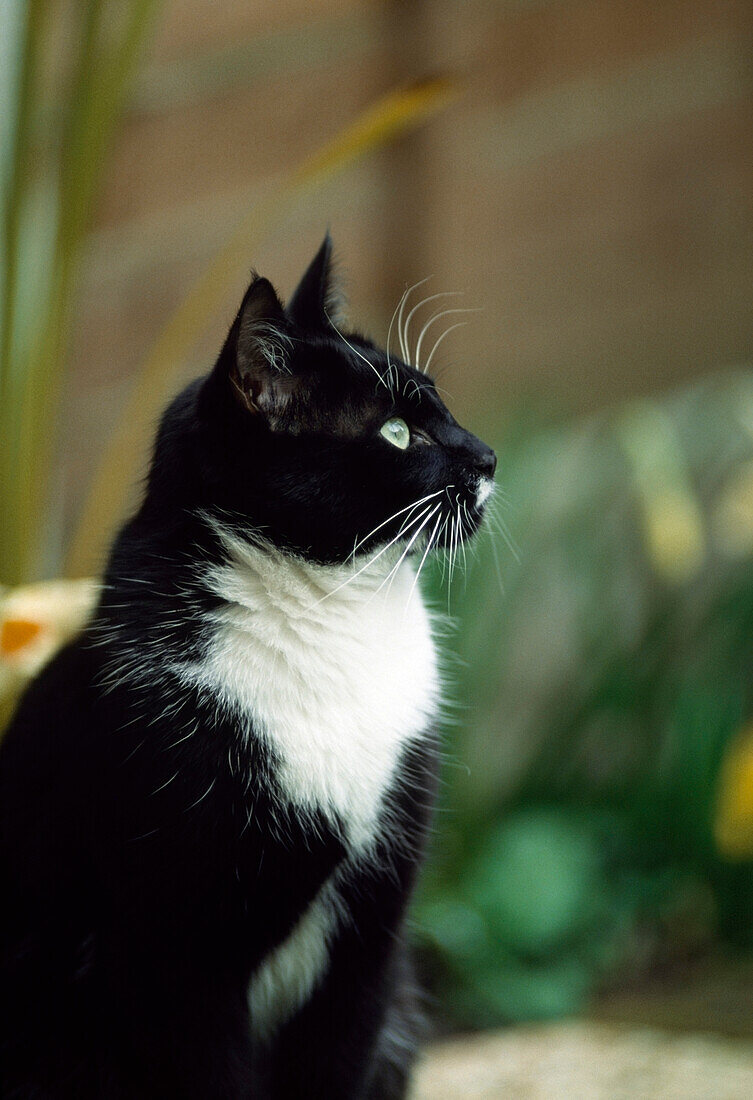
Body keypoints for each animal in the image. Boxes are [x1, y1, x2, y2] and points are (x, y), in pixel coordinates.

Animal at [0, 240, 496, 1100]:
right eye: (397, 432)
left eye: (440, 405)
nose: (488, 455)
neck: (329, 617)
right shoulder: (174, 955)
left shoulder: (369, 943)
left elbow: (339, 1056)